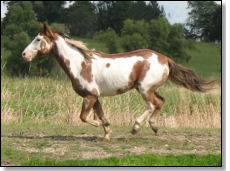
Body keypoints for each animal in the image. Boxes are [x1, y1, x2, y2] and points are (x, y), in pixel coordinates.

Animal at [22, 23, 213, 140]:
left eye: (38, 39)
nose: (24, 54)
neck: (81, 64)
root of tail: (166, 59)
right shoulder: (94, 97)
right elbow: (100, 114)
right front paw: (107, 133)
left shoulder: (90, 96)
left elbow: (84, 117)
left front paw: (102, 126)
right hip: (150, 88)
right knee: (160, 102)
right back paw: (154, 127)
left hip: (144, 89)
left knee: (152, 105)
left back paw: (136, 127)